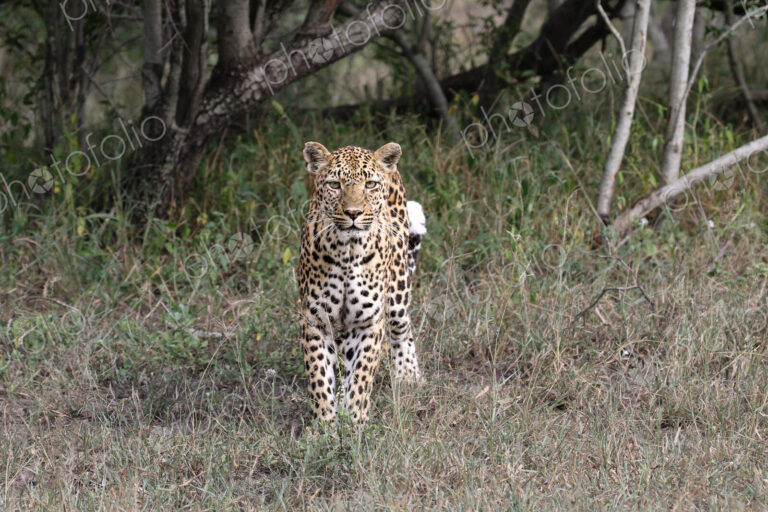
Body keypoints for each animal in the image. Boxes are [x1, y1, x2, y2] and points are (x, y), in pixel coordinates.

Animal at [298, 141, 426, 423]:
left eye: (370, 184)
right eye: (335, 185)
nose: (354, 213)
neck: (347, 251)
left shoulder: (368, 322)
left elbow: (361, 376)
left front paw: (355, 421)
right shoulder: (315, 320)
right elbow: (319, 378)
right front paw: (326, 425)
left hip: (397, 292)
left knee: (402, 329)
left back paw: (409, 376)